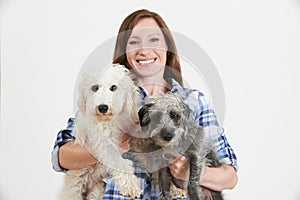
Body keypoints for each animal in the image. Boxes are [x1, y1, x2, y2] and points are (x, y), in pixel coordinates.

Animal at [60, 64, 143, 200]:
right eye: (95, 88)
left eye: (113, 87)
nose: (103, 107)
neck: (112, 121)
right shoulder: (103, 142)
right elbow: (117, 161)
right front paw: (130, 185)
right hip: (75, 188)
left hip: (98, 189)